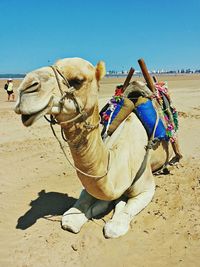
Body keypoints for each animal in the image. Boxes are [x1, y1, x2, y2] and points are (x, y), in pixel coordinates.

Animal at [14, 58, 173, 239]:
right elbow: (75, 215)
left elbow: (116, 223)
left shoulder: (146, 187)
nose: (25, 87)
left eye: (77, 80)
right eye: (32, 203)